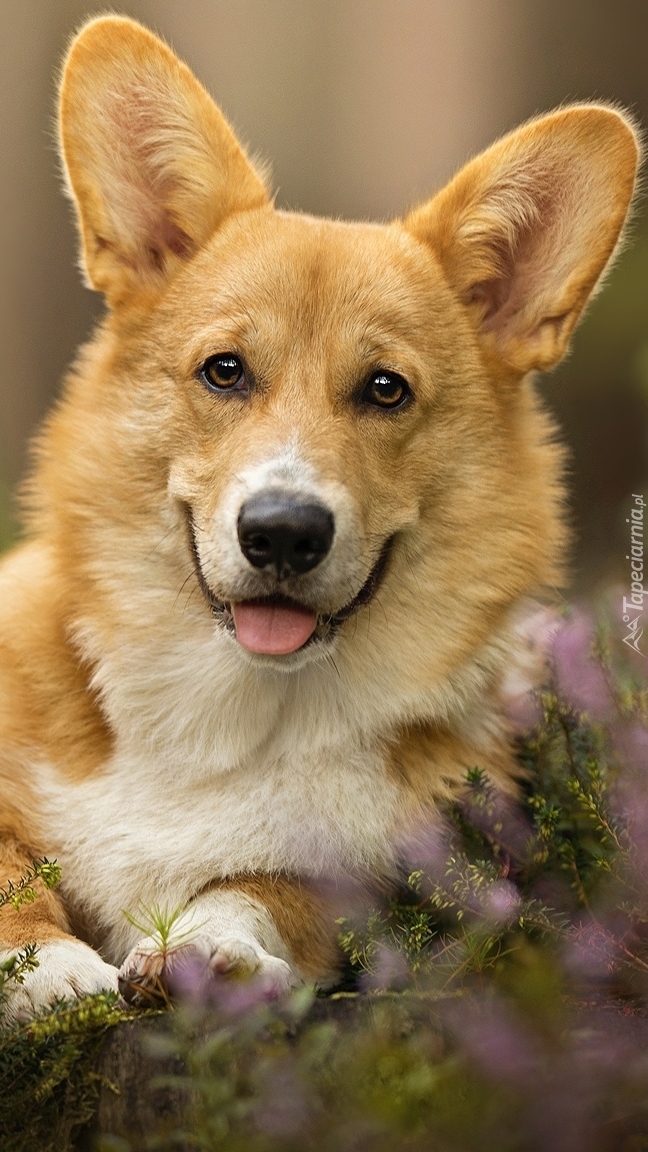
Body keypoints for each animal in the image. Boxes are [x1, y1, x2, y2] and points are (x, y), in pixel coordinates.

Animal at [0, 9, 636, 1018]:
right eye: (224, 370)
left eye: (385, 389)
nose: (283, 533)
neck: (226, 713)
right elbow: (10, 872)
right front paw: (48, 968)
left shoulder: (352, 886)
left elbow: (255, 888)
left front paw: (210, 950)